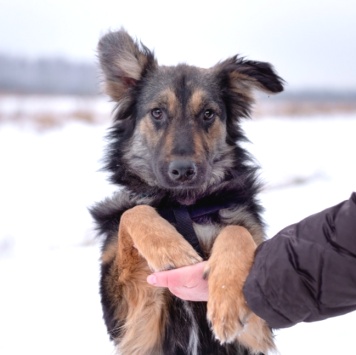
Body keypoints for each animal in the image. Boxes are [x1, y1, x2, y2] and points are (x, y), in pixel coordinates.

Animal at [91, 29, 284, 355]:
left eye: (208, 114)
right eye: (157, 112)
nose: (183, 171)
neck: (185, 206)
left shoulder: (258, 331)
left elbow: (236, 232)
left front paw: (226, 295)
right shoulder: (136, 317)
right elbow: (135, 211)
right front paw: (172, 249)